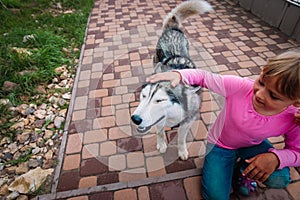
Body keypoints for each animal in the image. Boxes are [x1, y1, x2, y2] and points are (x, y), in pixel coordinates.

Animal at [131, 0, 213, 159]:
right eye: (143, 96)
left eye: (159, 100)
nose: (135, 119)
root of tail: (173, 29)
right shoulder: (159, 121)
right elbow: (160, 132)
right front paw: (161, 144)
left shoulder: (187, 122)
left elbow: (181, 138)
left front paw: (182, 151)